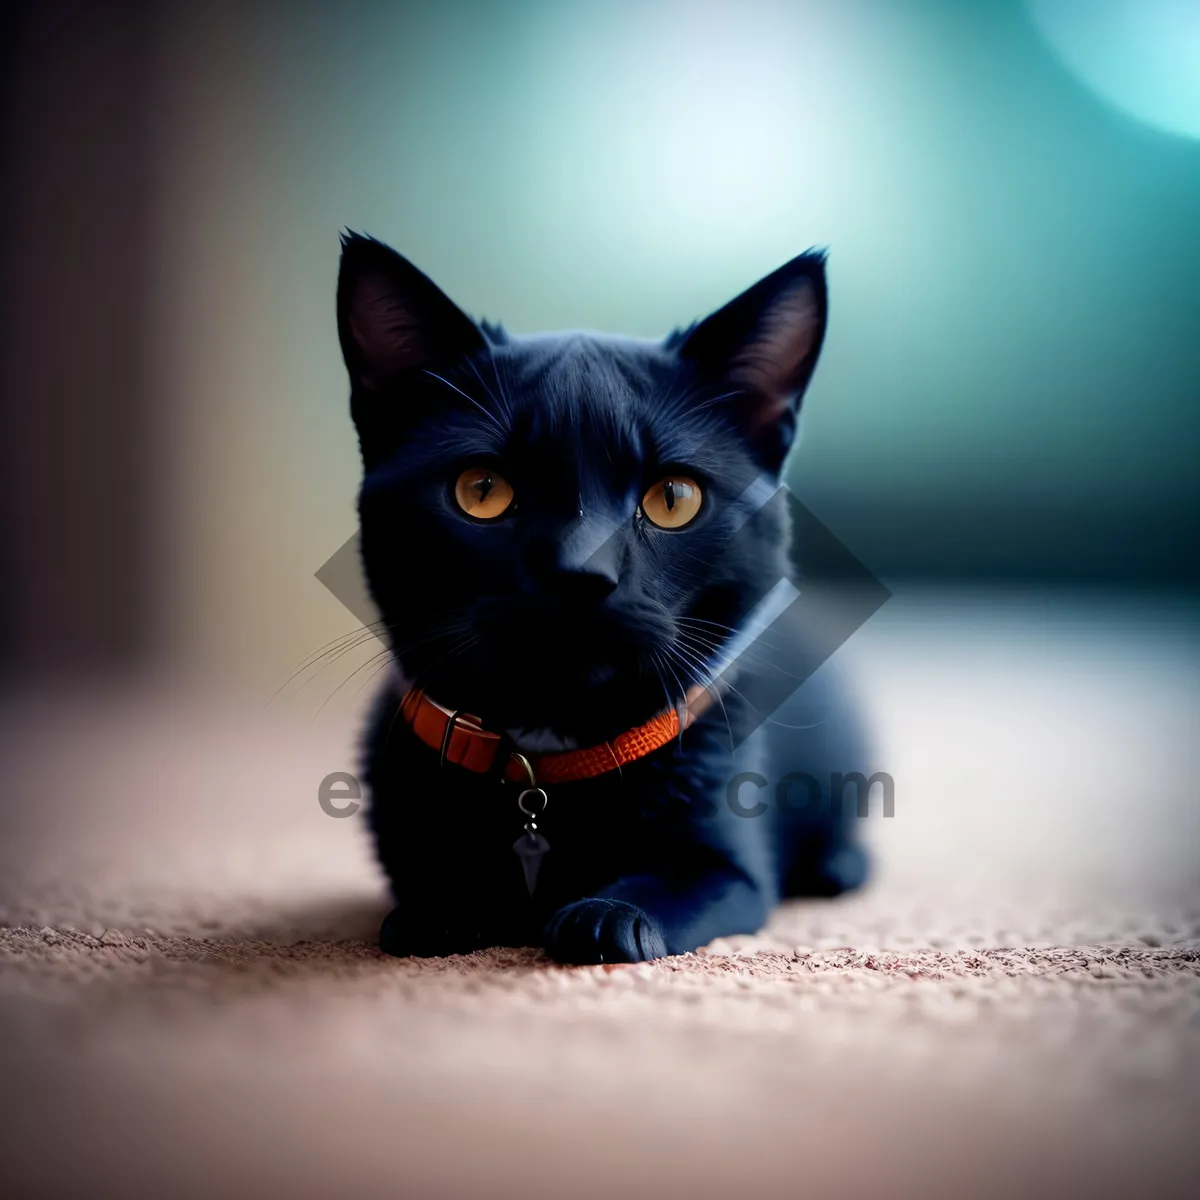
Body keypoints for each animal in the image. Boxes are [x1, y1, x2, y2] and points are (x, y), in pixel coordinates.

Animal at [338, 234, 873, 964]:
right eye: (482, 491)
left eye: (673, 498)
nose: (580, 572)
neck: (549, 752)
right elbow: (434, 870)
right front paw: (442, 908)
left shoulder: (727, 866)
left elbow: (674, 879)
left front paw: (609, 915)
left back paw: (838, 865)